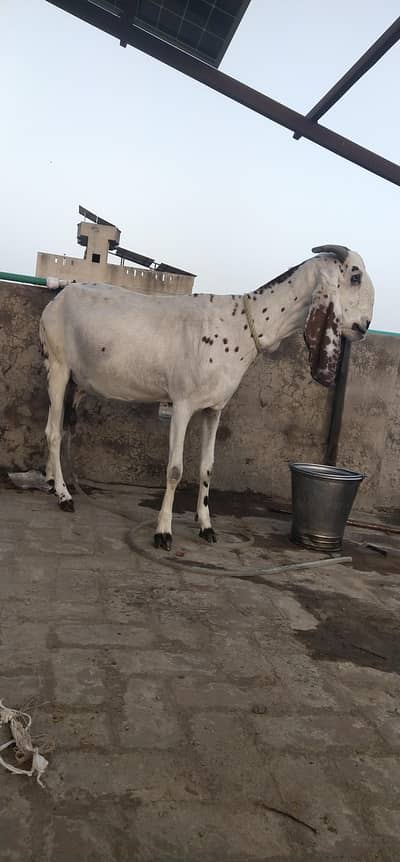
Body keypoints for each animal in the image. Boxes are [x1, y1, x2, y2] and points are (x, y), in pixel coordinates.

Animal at [39, 244, 374, 550]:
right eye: (355, 276)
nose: (365, 326)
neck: (240, 327)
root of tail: (55, 301)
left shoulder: (214, 409)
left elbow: (207, 467)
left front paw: (206, 525)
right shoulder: (182, 404)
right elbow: (175, 470)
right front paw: (163, 532)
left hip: (73, 379)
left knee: (59, 426)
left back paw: (51, 482)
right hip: (58, 365)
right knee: (53, 432)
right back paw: (64, 495)